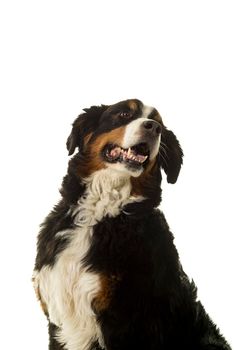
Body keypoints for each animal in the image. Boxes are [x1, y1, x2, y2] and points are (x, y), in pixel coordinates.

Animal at [32, 98, 230, 350]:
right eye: (124, 114)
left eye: (158, 124)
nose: (153, 128)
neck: (102, 214)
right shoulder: (57, 319)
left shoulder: (129, 321)